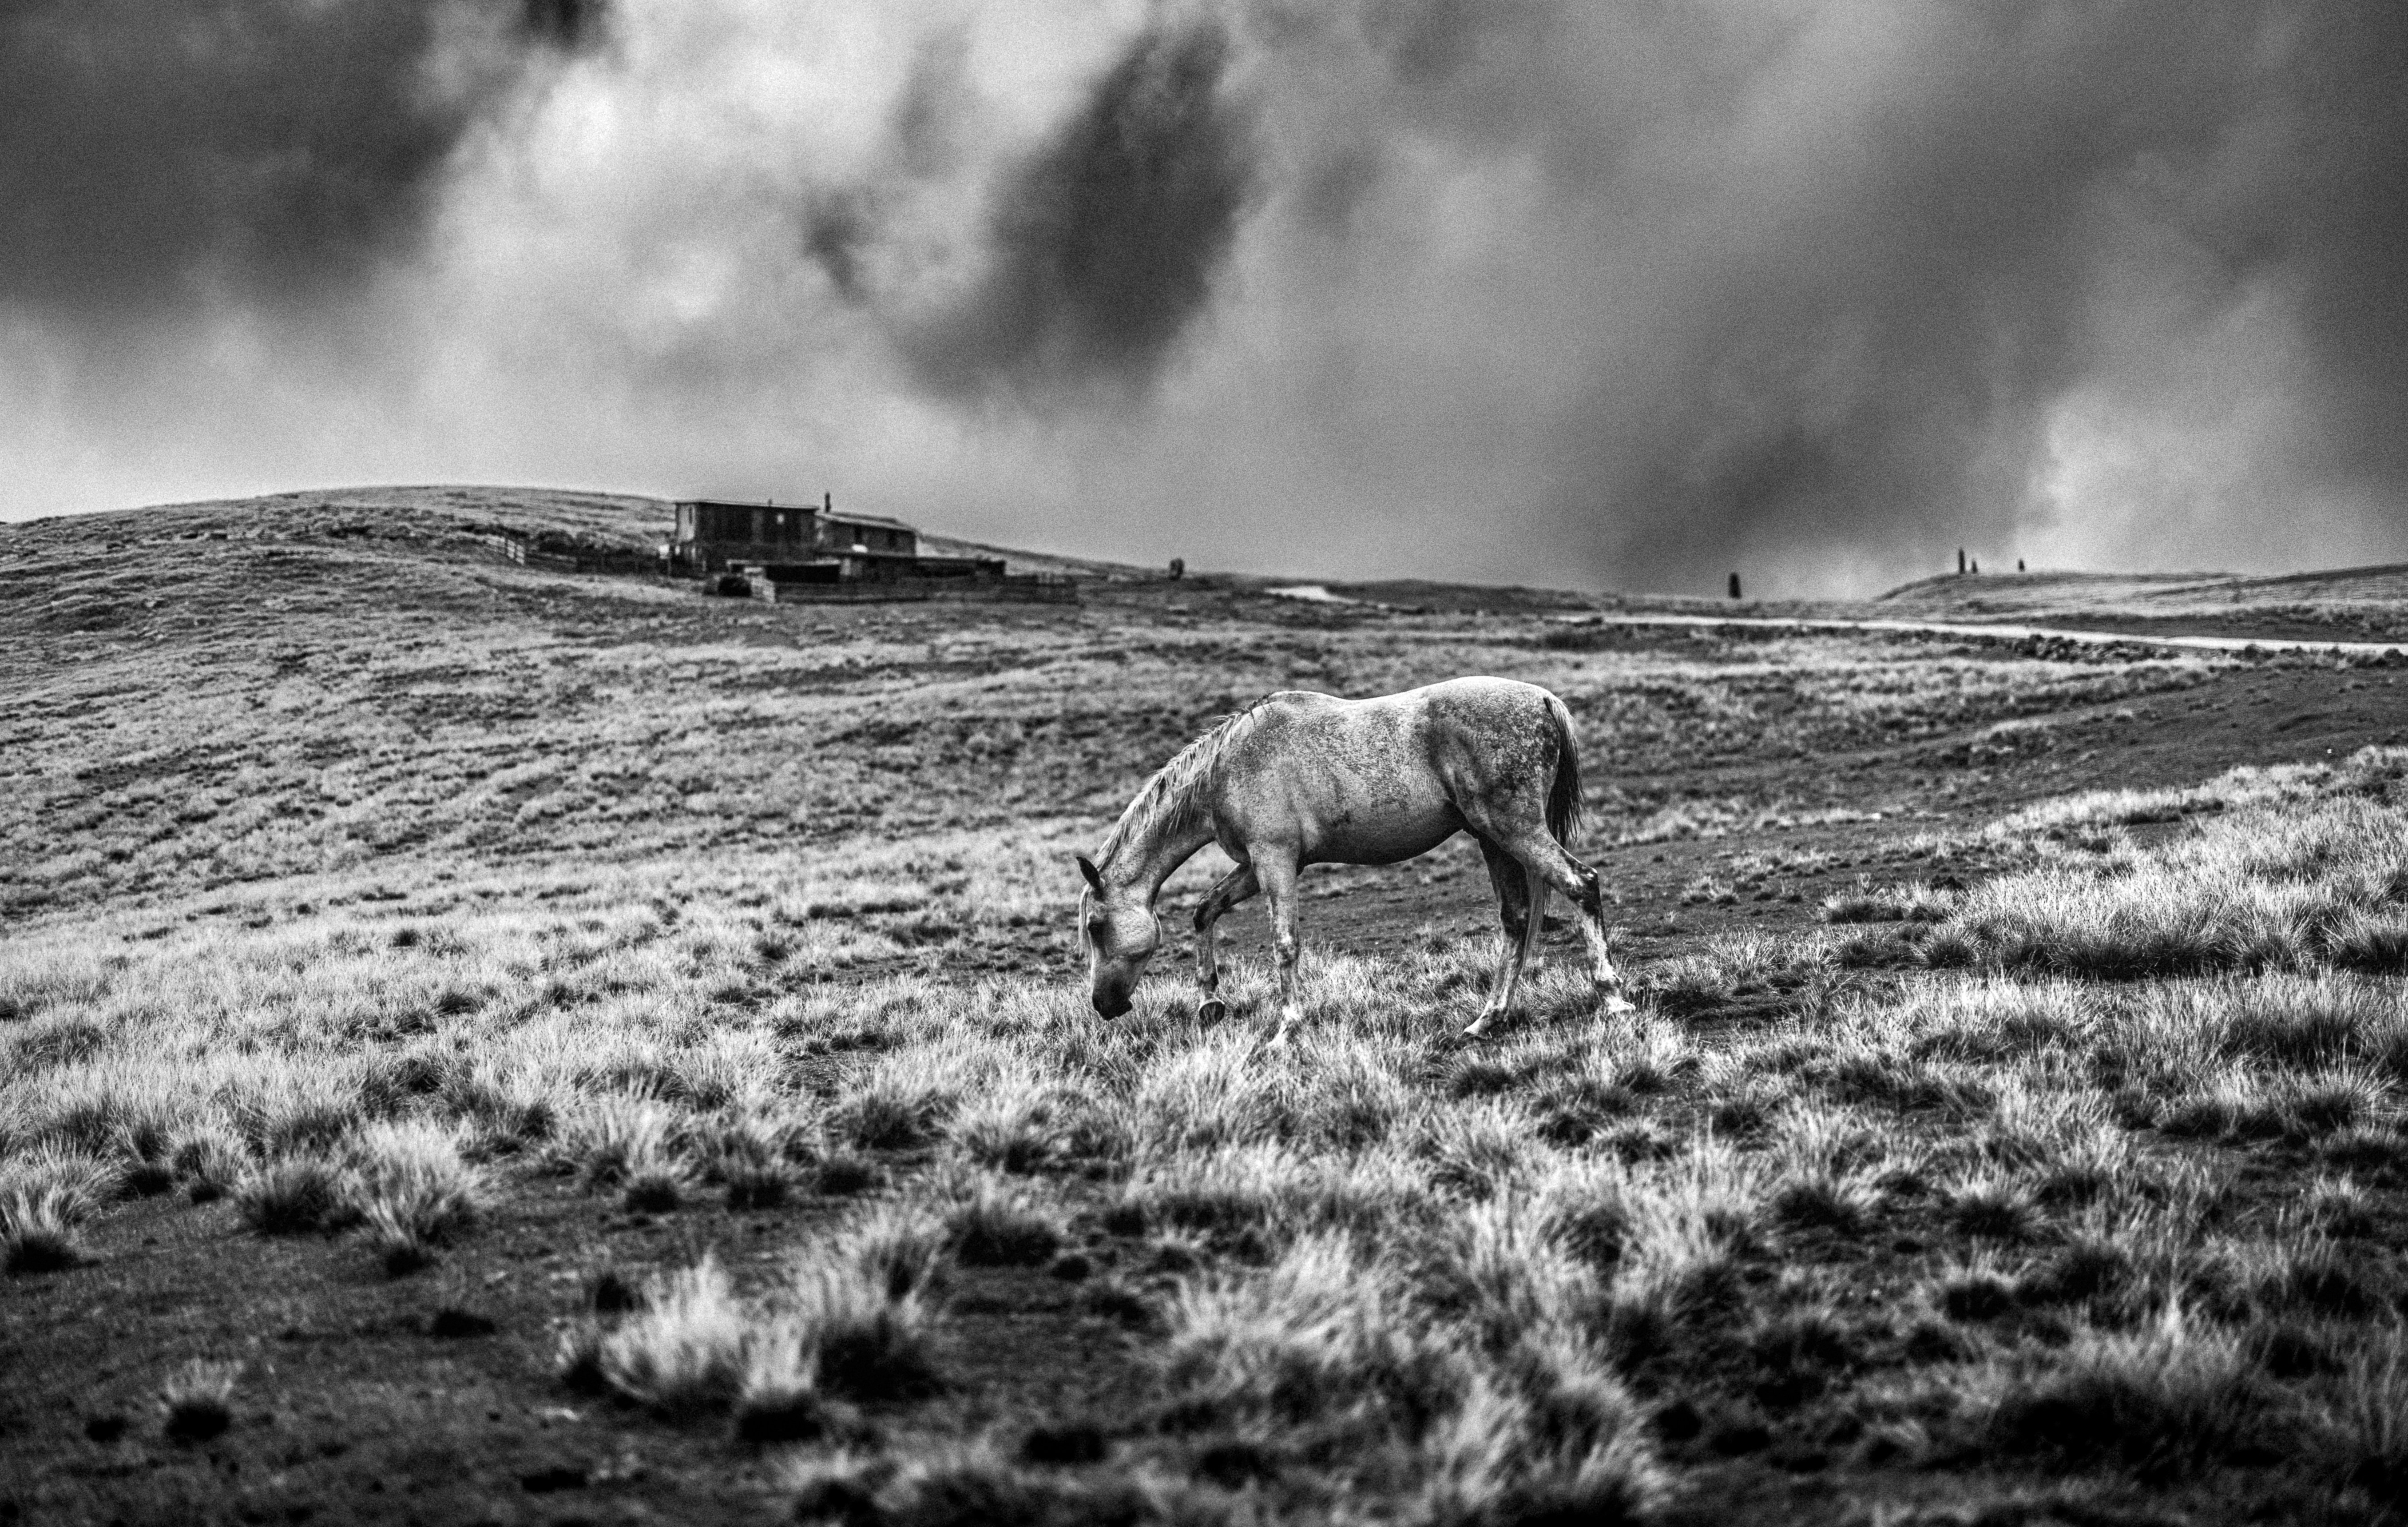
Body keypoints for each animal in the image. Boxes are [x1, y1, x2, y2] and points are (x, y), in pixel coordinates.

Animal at [1076, 676, 1635, 1043]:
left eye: (1096, 927)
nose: (1103, 1006)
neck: (1228, 769)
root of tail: (1542, 699)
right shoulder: (1257, 867)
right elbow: (1204, 910)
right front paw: (1211, 1002)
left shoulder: (1275, 861)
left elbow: (1284, 945)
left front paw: (1286, 1031)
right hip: (1492, 839)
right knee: (1517, 920)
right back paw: (1485, 1020)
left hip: (1515, 831)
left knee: (1581, 883)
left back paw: (1613, 1000)